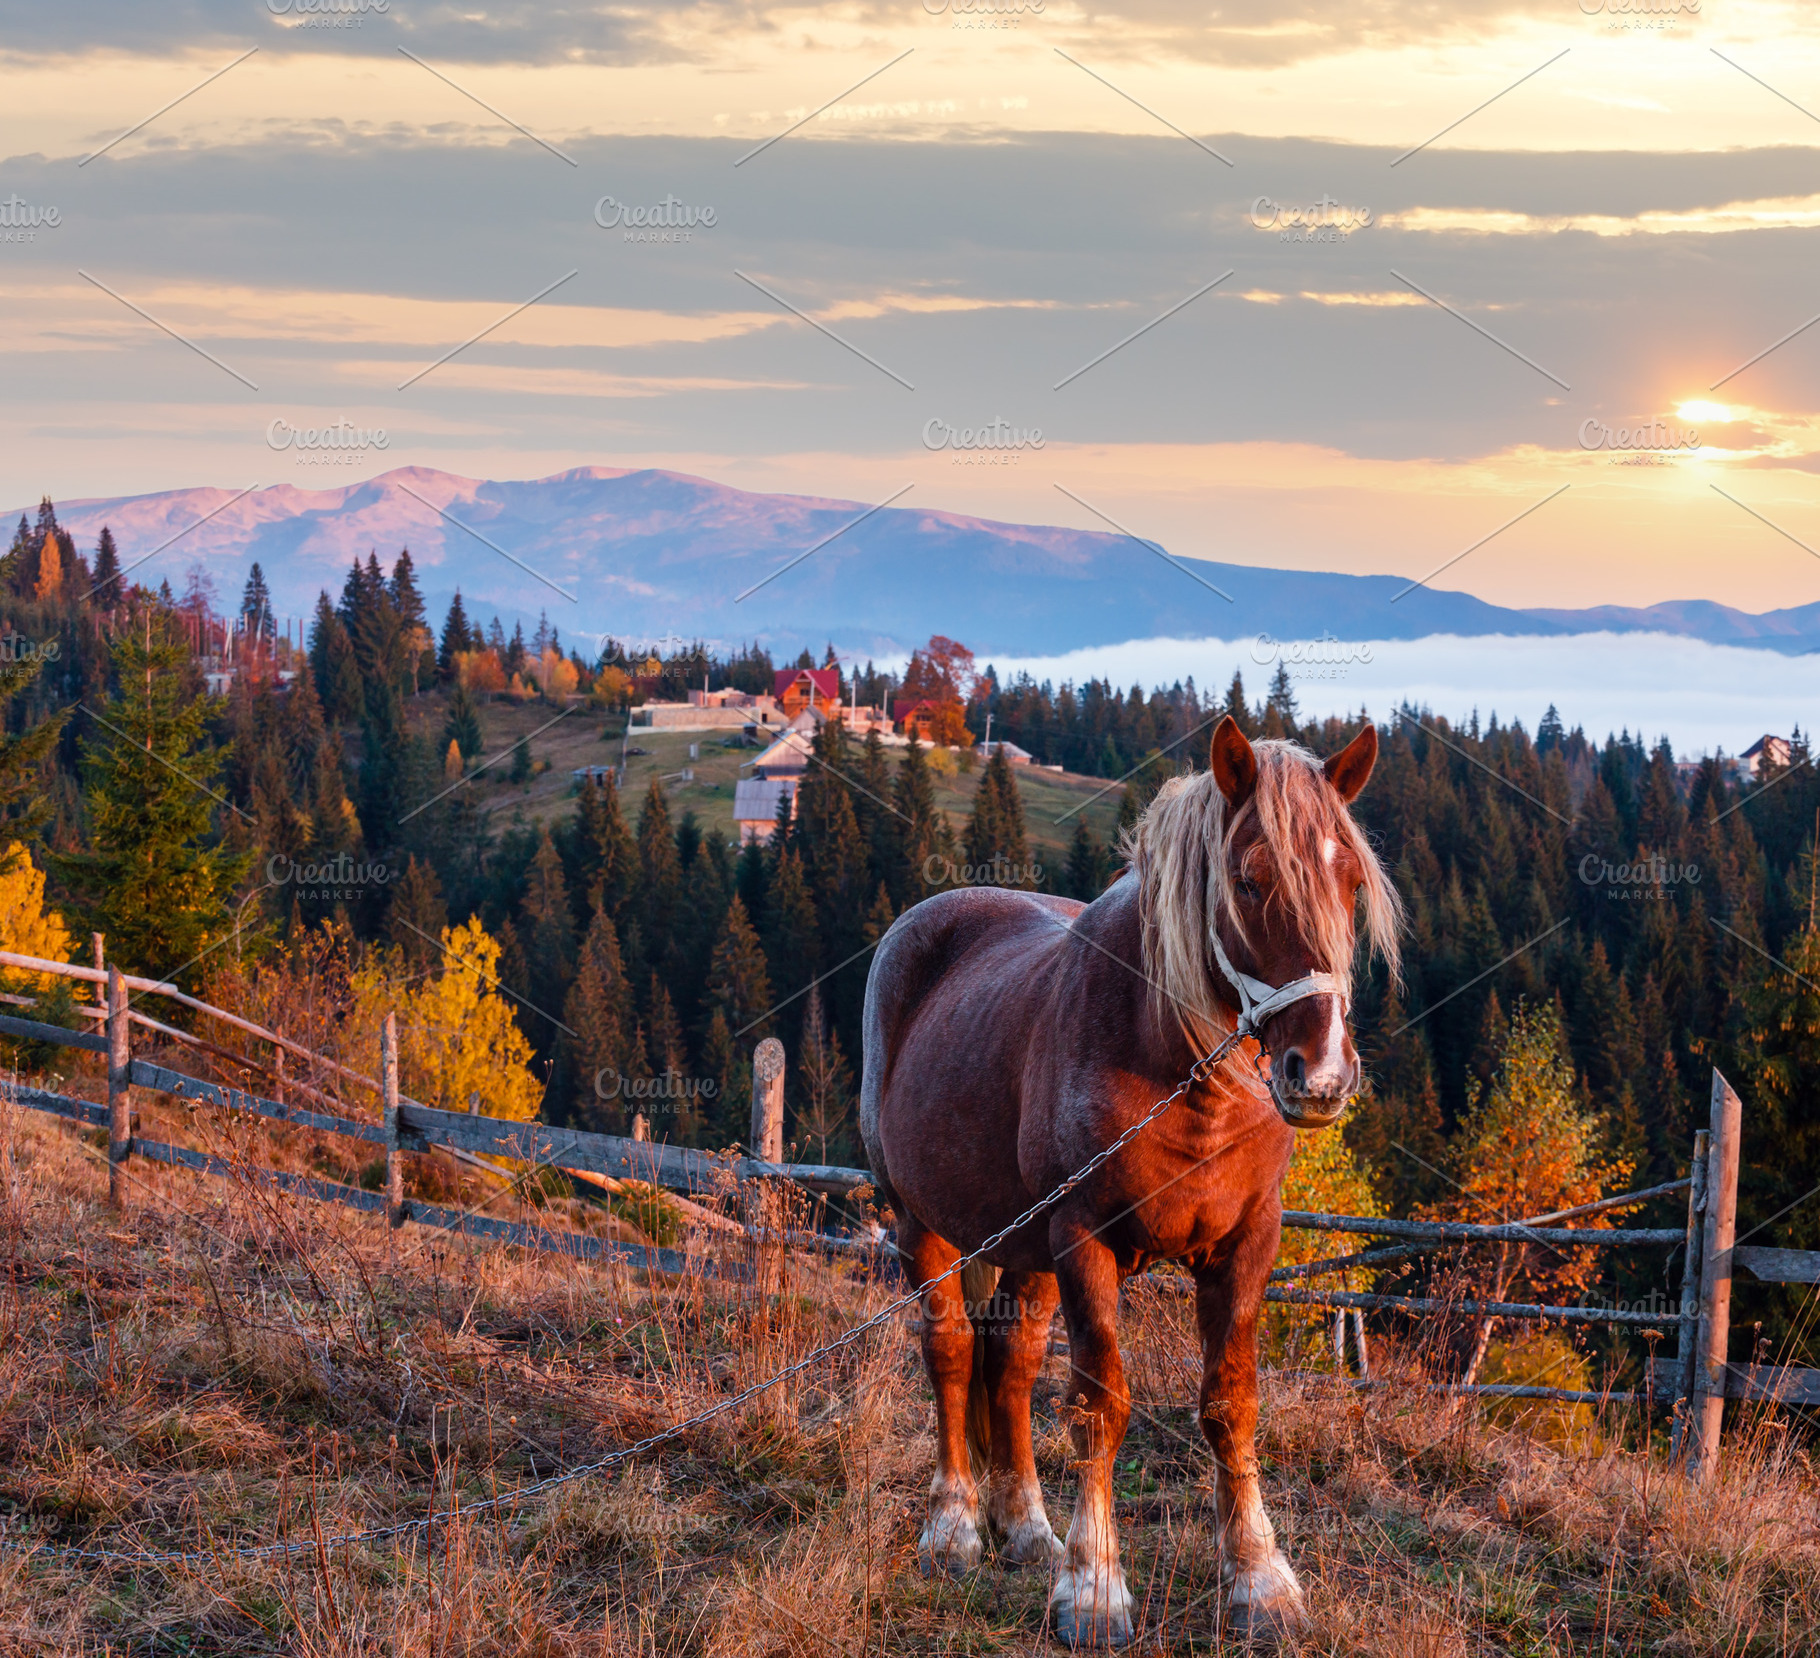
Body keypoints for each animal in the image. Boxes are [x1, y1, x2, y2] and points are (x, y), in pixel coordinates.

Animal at [860, 716, 1401, 1645]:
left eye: (1351, 880)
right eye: (1249, 881)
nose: (1323, 1075)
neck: (1185, 1078)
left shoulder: (1246, 1242)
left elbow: (1230, 1404)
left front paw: (1260, 1582)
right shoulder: (1084, 1242)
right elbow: (1098, 1405)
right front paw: (1094, 1588)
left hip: (1025, 1246)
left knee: (1009, 1363)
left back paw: (1026, 1528)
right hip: (921, 1221)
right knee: (953, 1353)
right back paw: (954, 1526)